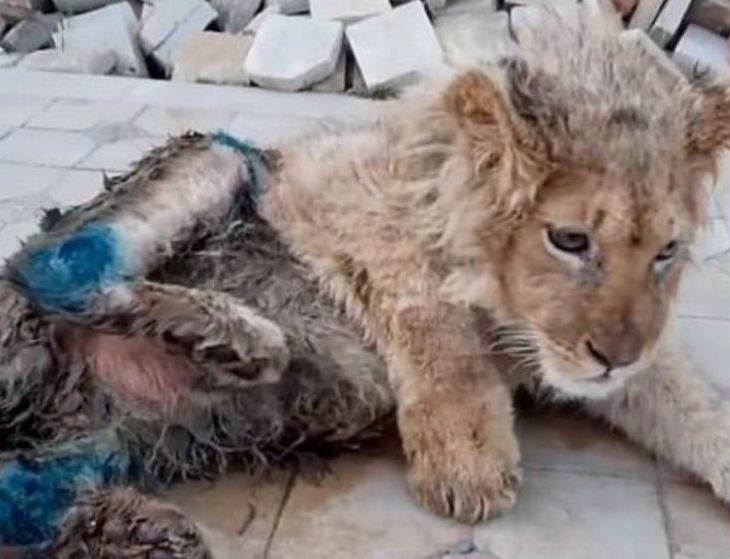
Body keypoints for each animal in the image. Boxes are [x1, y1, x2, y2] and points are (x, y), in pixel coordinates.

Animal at [1, 2, 729, 555]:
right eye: (570, 240)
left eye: (667, 252)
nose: (614, 359)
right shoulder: (327, 195)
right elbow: (427, 307)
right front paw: (466, 457)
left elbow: (690, 404)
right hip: (216, 154)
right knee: (53, 263)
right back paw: (242, 342)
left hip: (92, 447)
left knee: (21, 498)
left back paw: (145, 529)